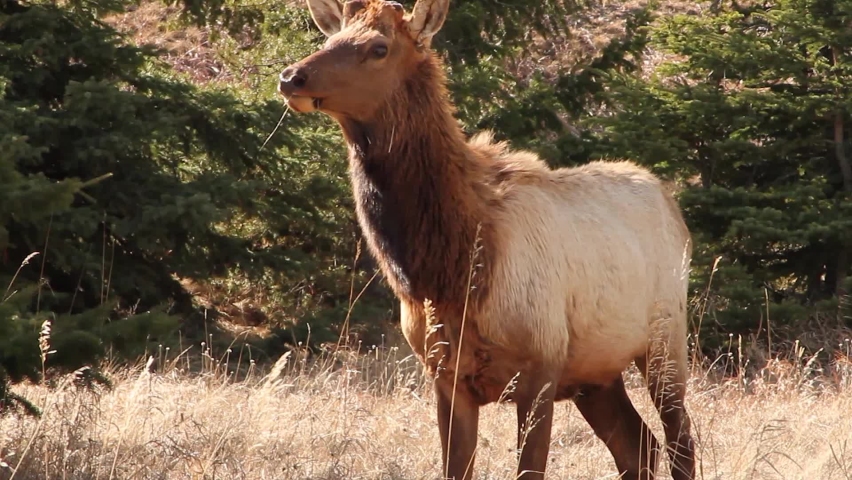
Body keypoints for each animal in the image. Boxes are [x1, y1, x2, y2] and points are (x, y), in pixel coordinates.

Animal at [277, 0, 697, 478]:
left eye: (379, 47)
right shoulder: (445, 375)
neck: (449, 274)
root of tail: (671, 203)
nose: (291, 76)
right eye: (331, 38)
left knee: (679, 441)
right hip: (596, 372)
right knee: (638, 446)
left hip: (666, 341)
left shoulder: (540, 366)